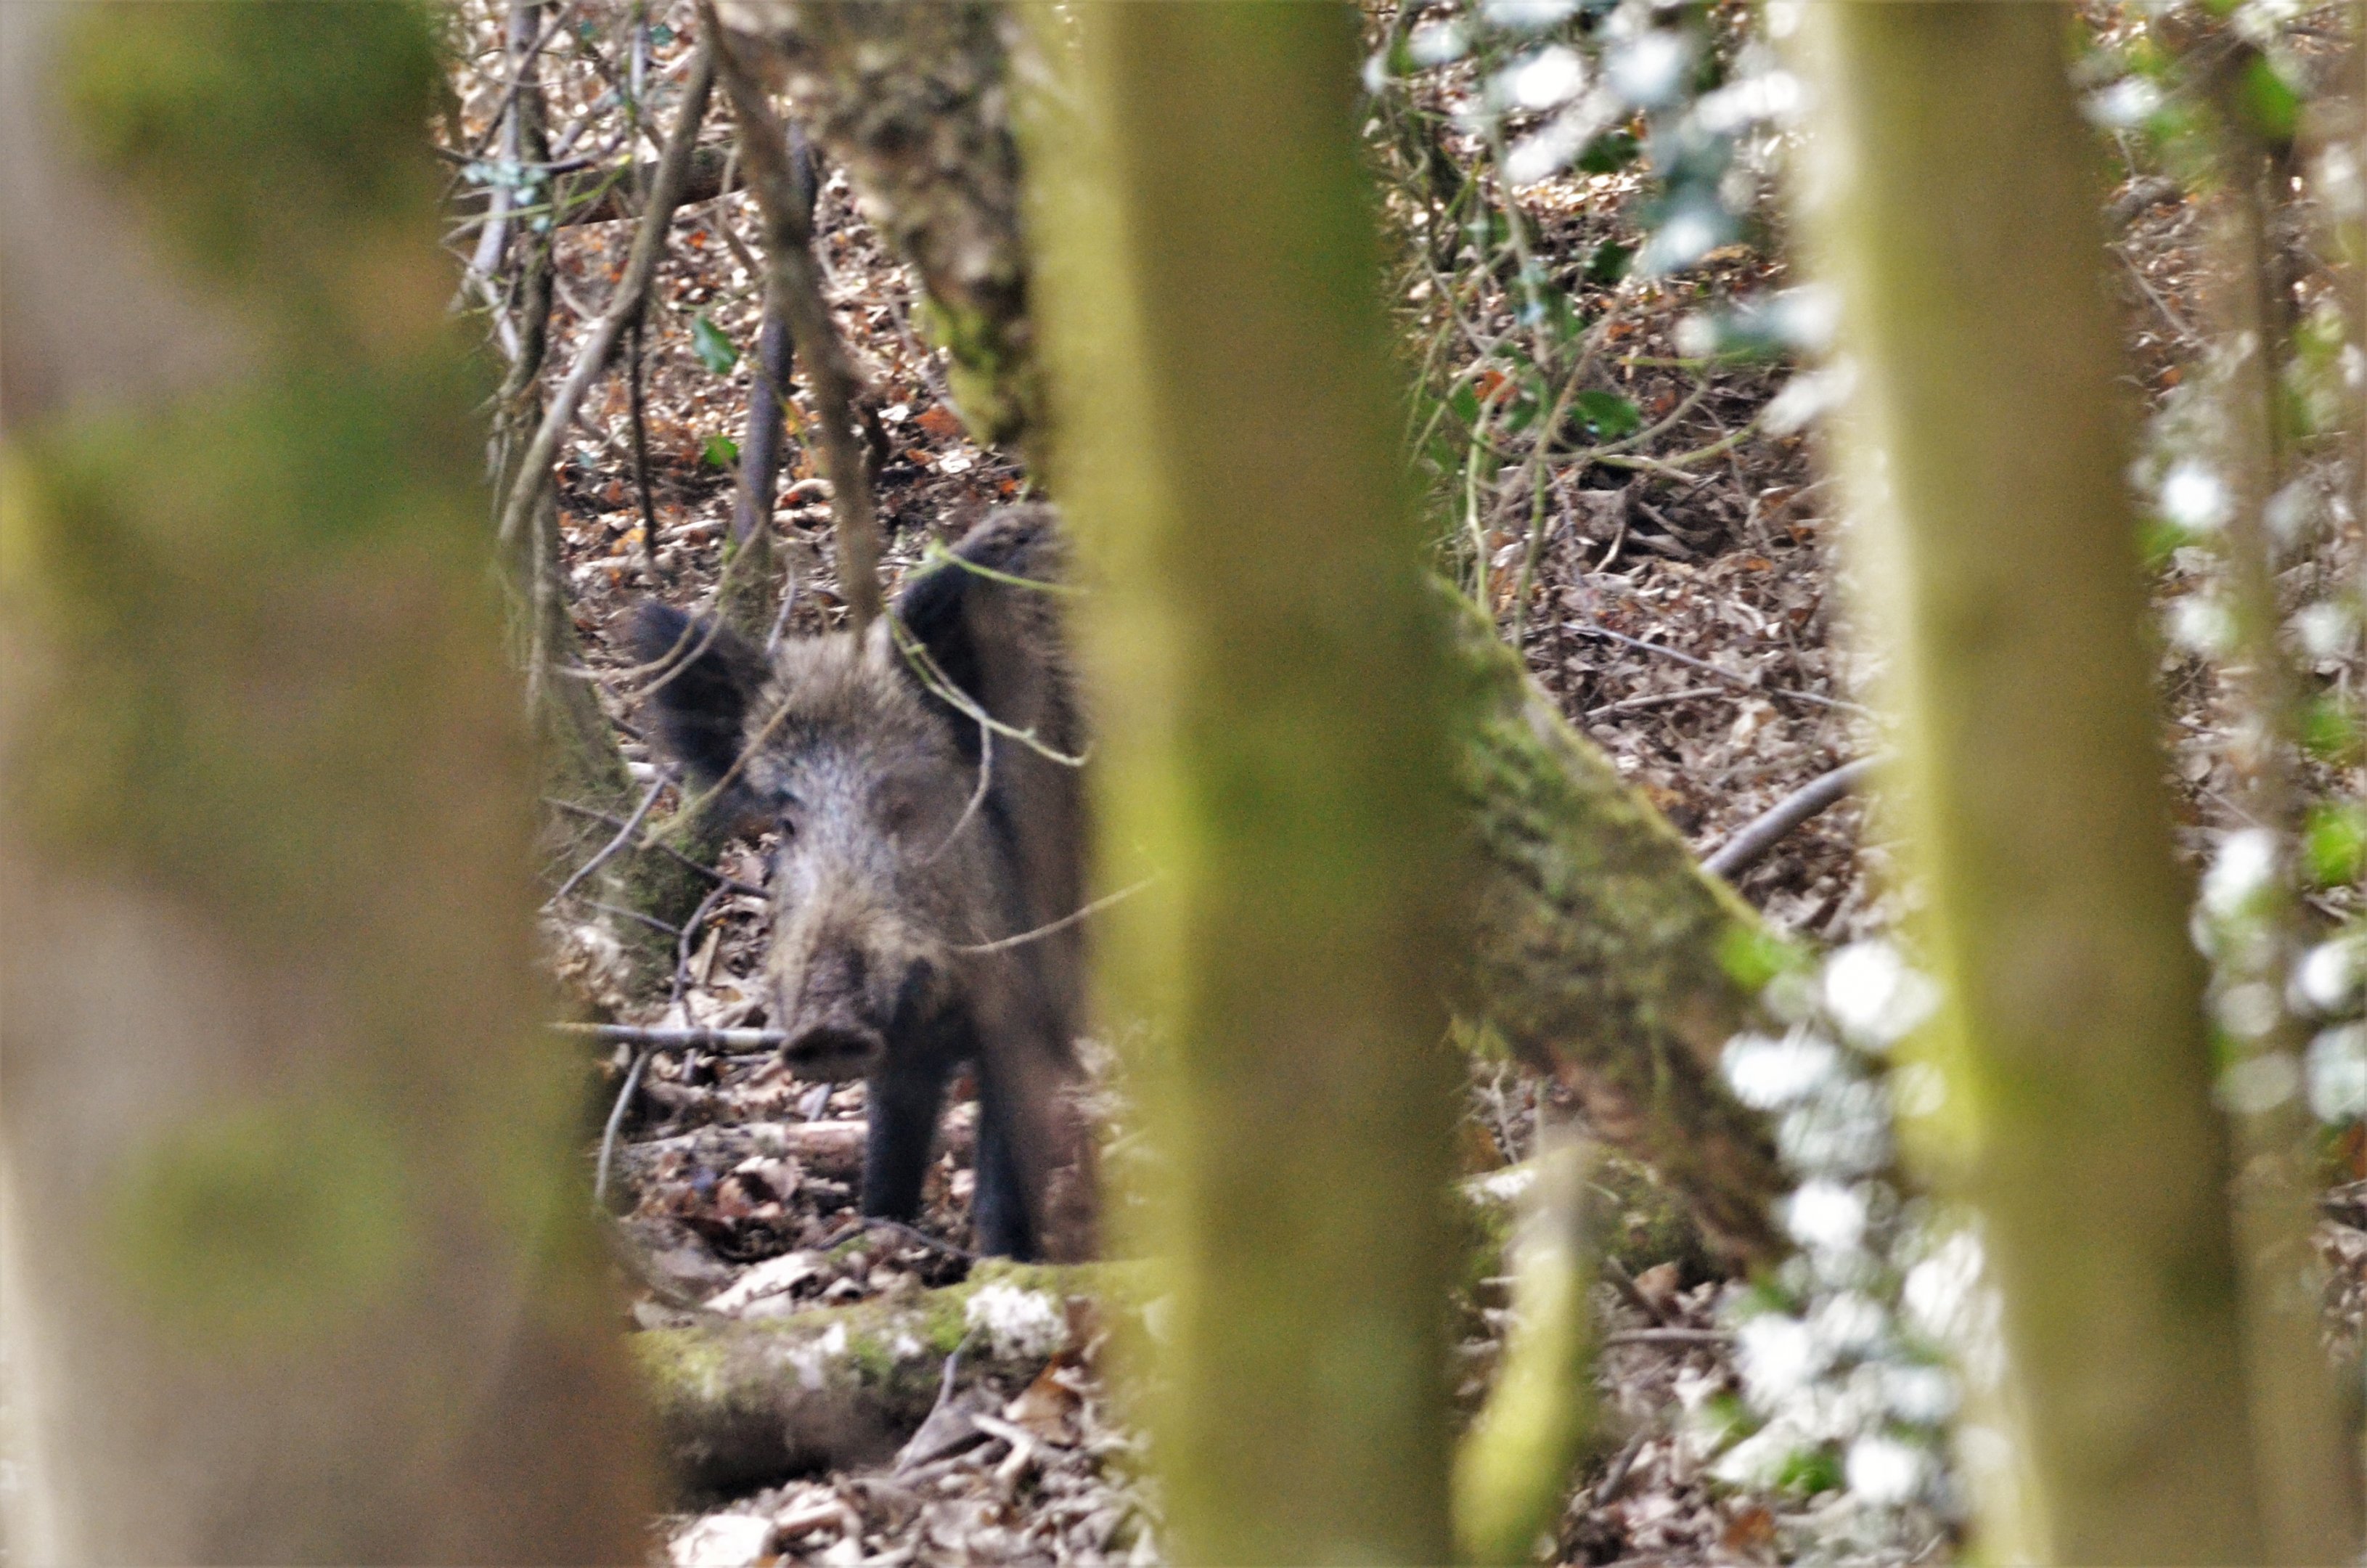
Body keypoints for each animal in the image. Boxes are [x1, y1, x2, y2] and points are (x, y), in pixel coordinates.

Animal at [629, 507, 1091, 1260]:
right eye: (787, 821)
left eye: (905, 803)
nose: (825, 1026)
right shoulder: (902, 1050)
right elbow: (889, 1151)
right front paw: (875, 1235)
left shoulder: (1036, 1002)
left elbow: (1005, 1171)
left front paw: (999, 1264)